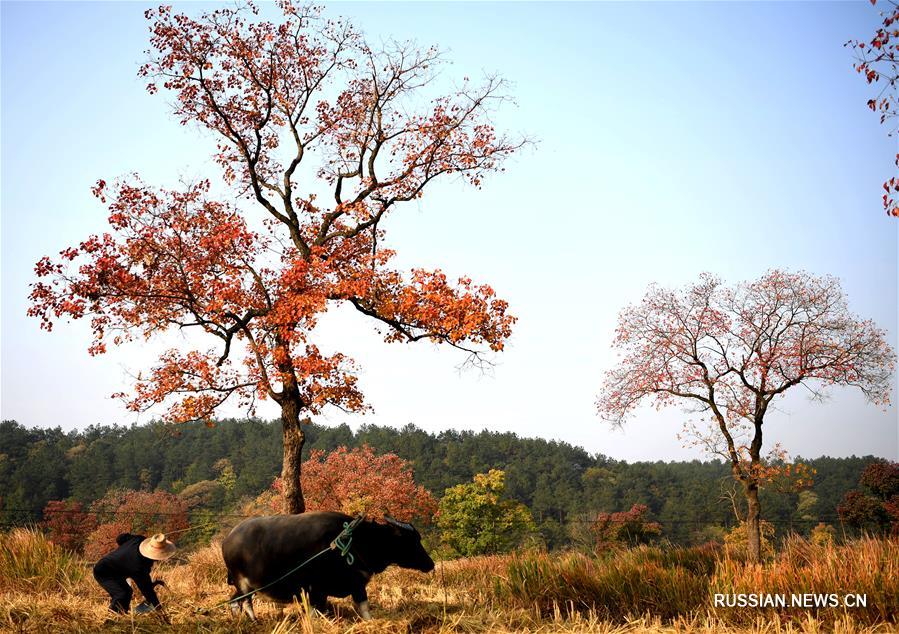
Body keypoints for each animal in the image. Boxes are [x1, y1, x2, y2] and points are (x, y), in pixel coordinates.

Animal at [224, 508, 436, 616]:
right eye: (411, 540)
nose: (431, 564)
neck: (356, 542)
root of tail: (228, 538)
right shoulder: (316, 589)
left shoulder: (351, 585)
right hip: (243, 583)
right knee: (246, 602)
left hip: (247, 585)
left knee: (234, 600)